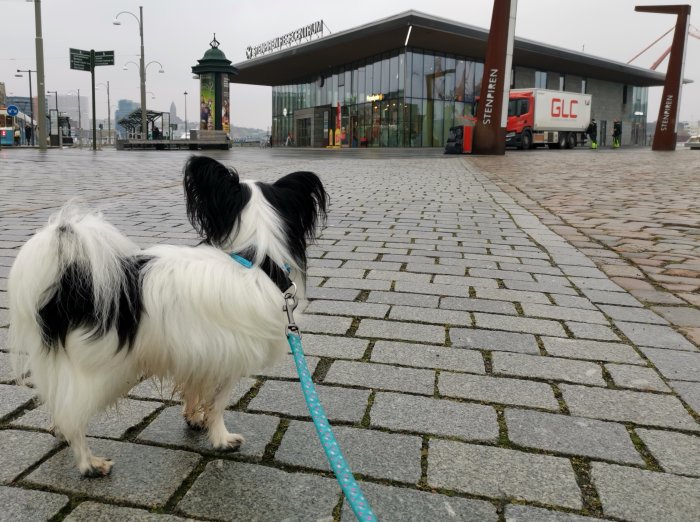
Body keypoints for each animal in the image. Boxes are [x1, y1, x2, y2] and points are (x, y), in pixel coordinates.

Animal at [9, 155, 328, 476]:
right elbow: (218, 404)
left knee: (60, 405)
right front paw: (221, 438)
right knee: (73, 416)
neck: (256, 257)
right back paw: (89, 464)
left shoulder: (199, 355)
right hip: (98, 372)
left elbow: (195, 390)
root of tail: (69, 285)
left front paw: (194, 418)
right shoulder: (228, 363)